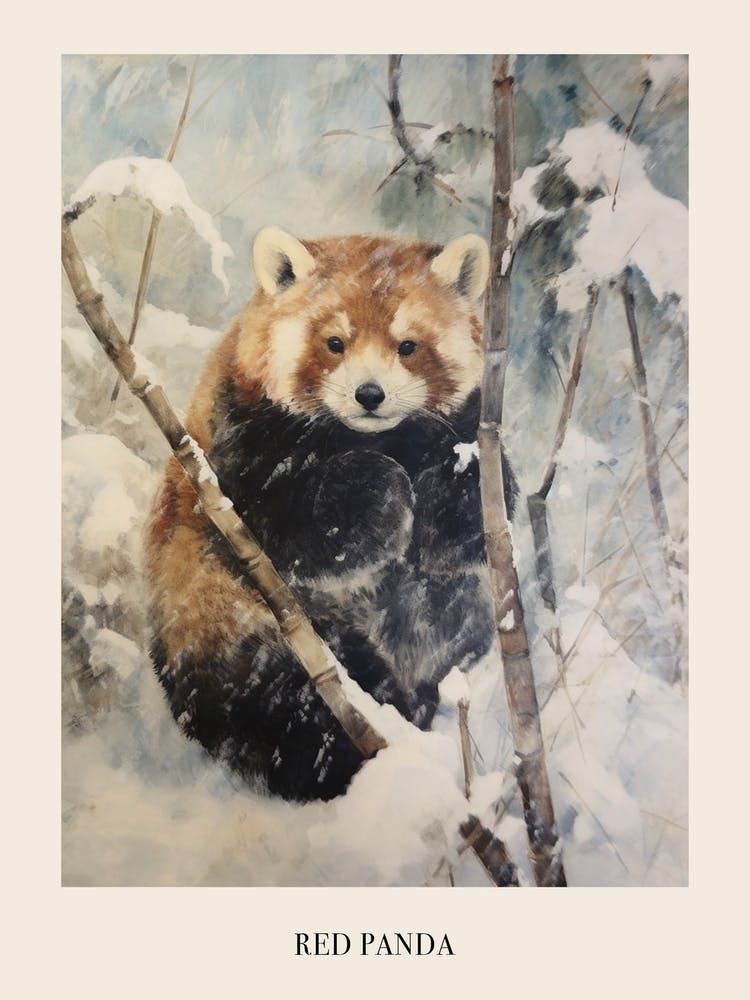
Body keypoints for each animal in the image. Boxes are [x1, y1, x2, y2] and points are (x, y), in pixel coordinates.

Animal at [146, 227, 517, 801]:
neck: (377, 438)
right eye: (335, 343)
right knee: (282, 702)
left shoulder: (462, 426)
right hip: (226, 617)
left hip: (452, 617)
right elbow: (293, 530)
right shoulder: (238, 449)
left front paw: (452, 487)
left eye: (407, 346)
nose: (369, 394)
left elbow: (467, 534)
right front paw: (380, 491)